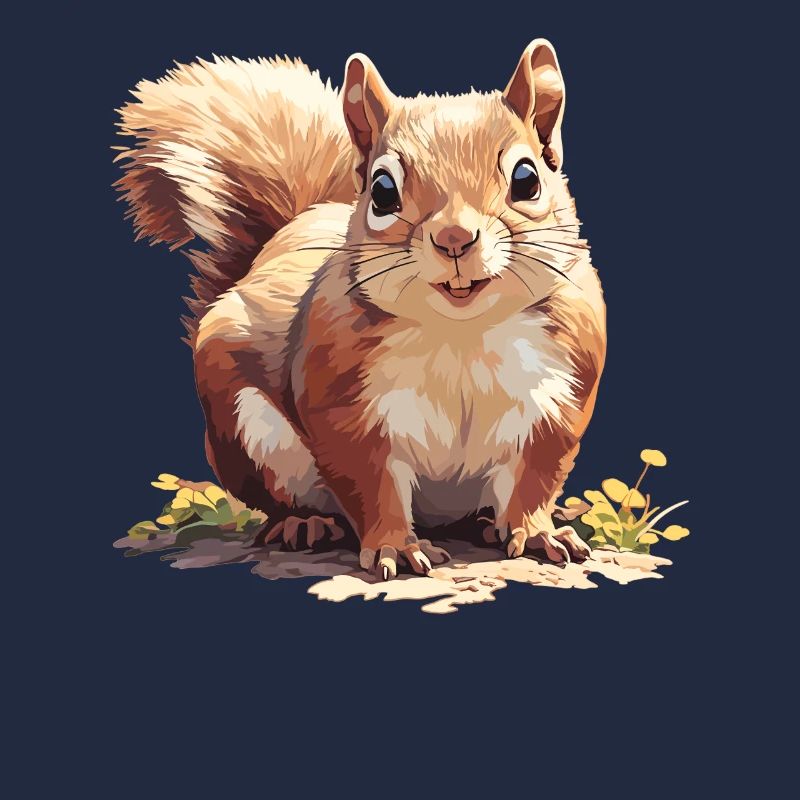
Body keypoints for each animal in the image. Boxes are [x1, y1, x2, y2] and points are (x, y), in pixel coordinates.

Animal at [115, 39, 606, 580]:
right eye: (382, 190)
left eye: (527, 179)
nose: (454, 238)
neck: (462, 333)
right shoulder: (344, 404)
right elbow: (372, 485)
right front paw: (395, 547)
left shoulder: (560, 399)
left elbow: (533, 481)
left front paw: (539, 534)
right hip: (246, 432)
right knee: (280, 499)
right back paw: (303, 524)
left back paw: (483, 523)